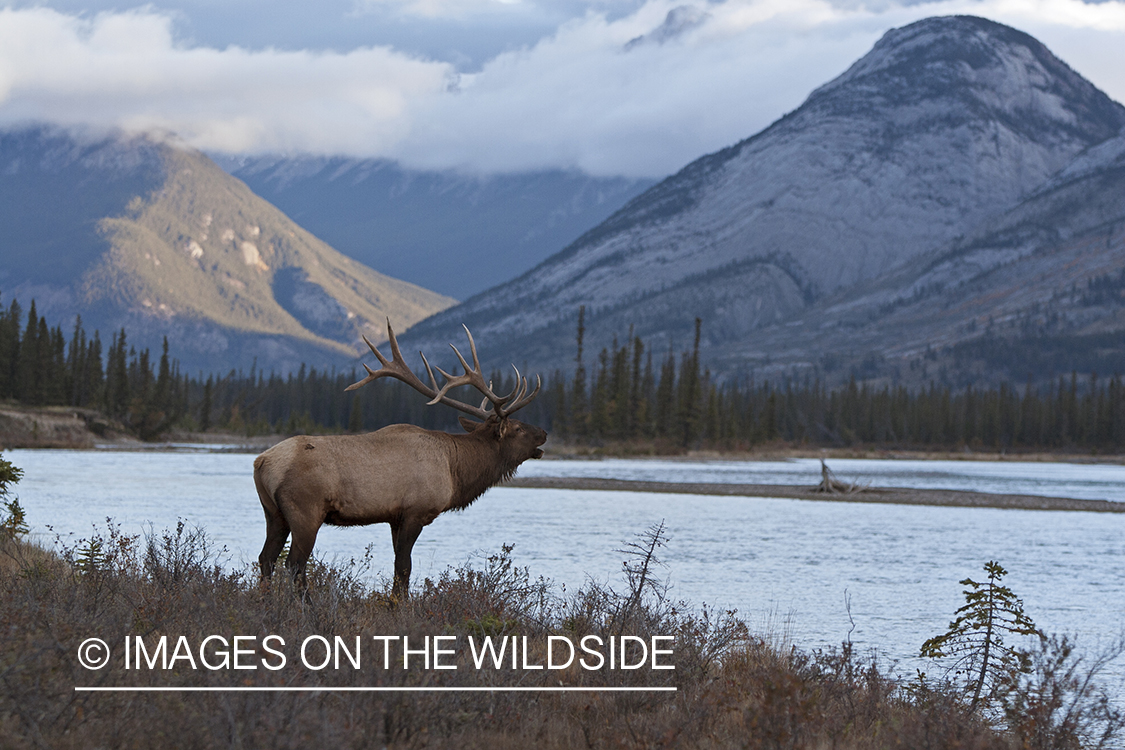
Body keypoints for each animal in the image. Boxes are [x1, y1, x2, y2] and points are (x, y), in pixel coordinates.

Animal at [252, 319, 549, 602]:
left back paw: (265, 603)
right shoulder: (415, 511)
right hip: (306, 510)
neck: (456, 471)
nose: (544, 433)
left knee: (266, 558)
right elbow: (404, 566)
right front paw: (401, 606)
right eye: (518, 428)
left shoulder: (394, 517)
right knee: (294, 563)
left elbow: (398, 566)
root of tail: (261, 462)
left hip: (273, 512)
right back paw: (308, 607)